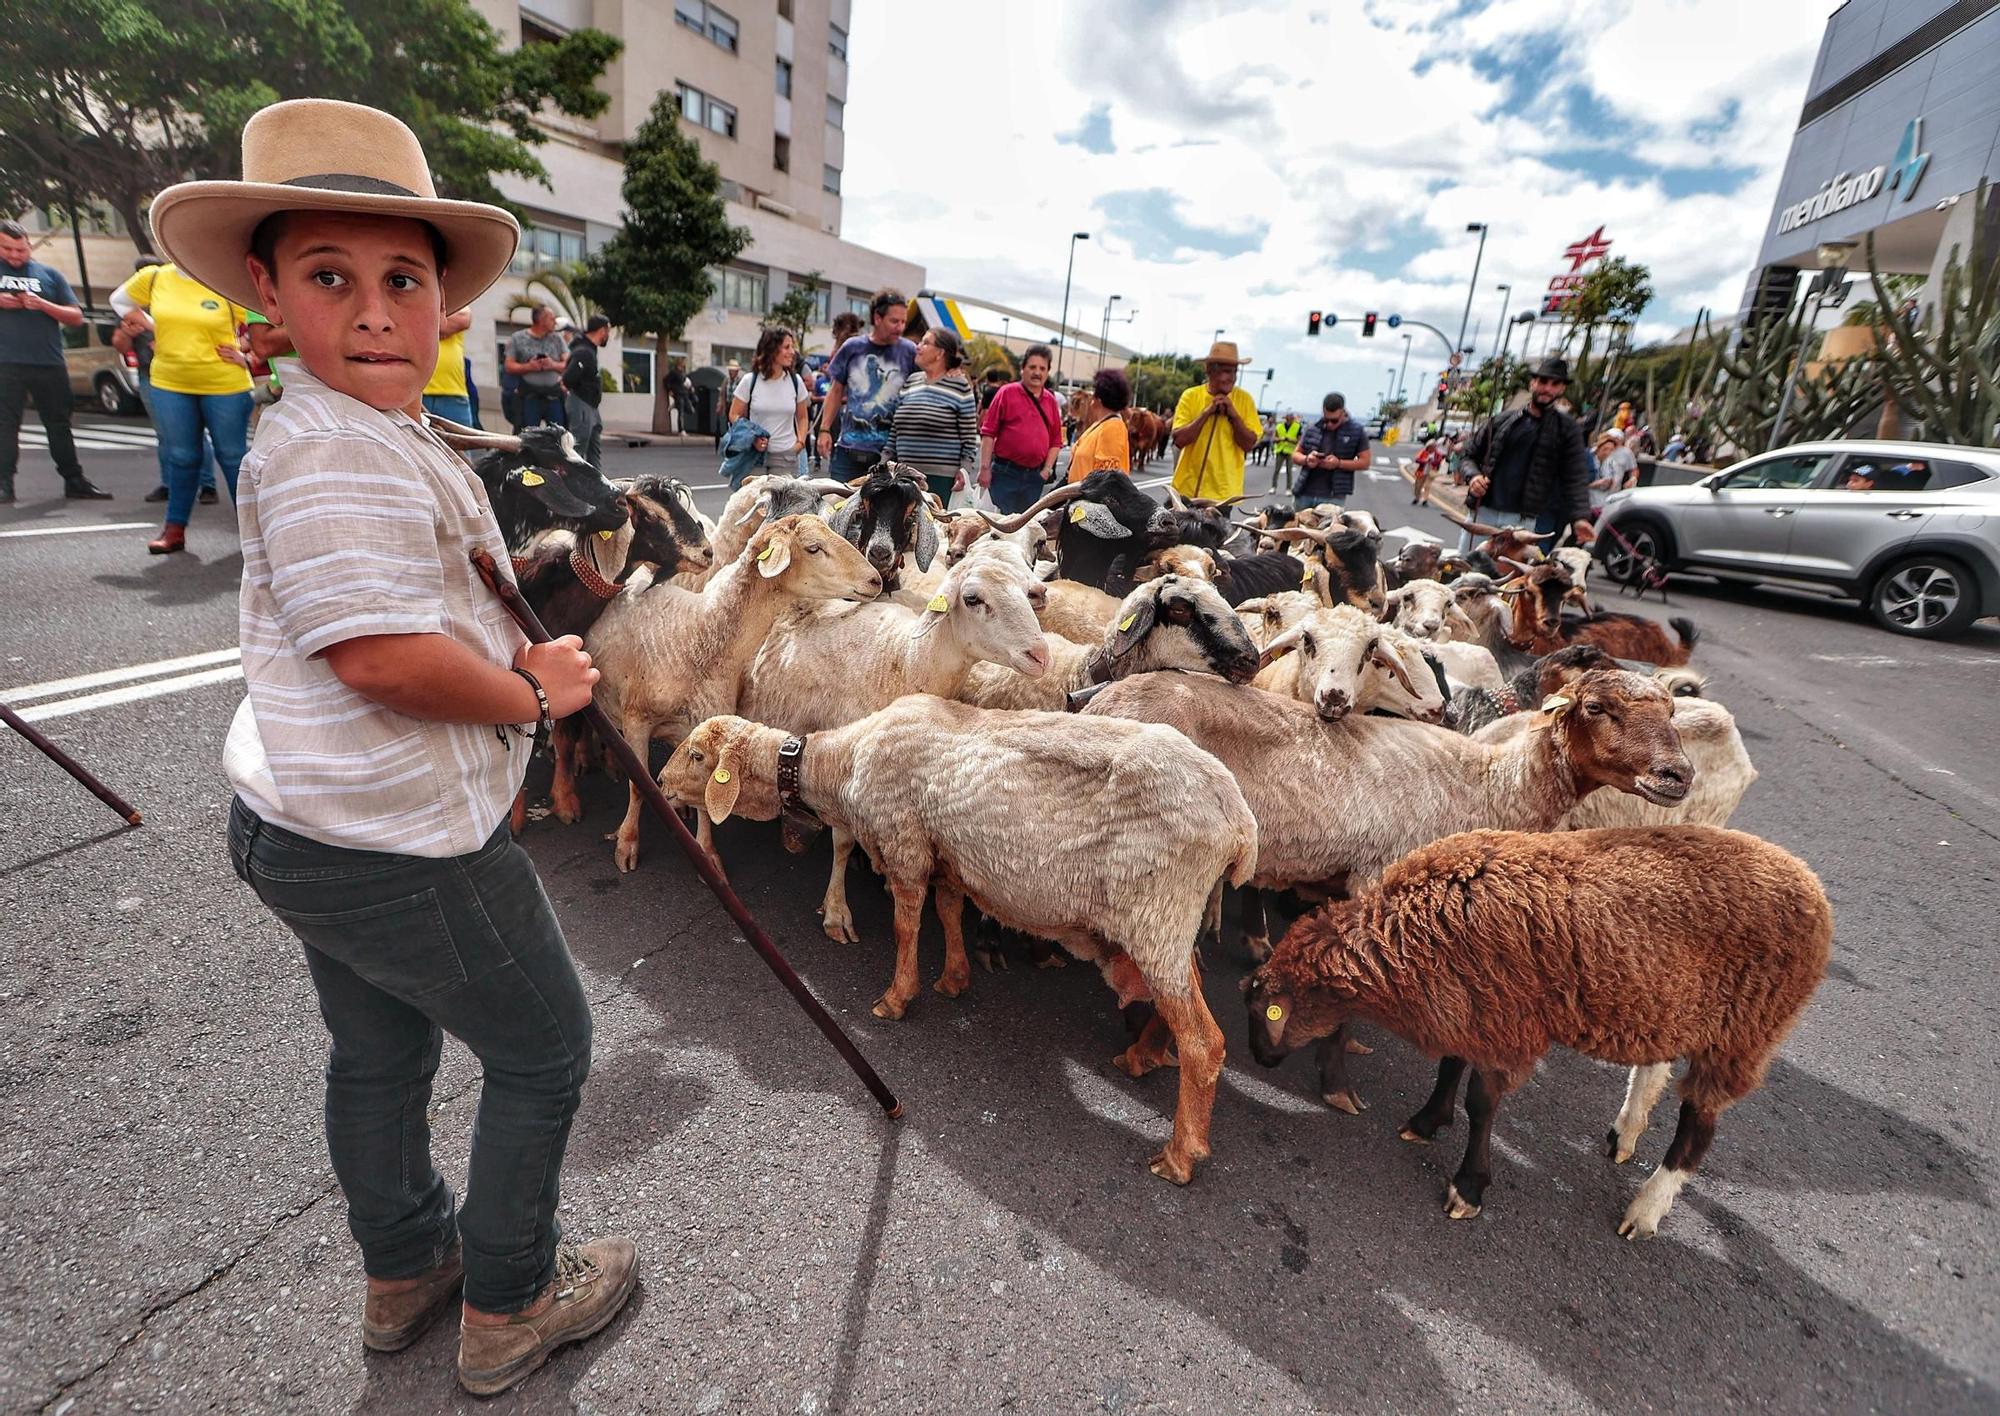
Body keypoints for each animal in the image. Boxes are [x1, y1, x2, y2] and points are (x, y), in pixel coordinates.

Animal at [1240, 824, 1832, 1232]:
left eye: (1265, 1011)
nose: (1260, 1060)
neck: (1402, 933)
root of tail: (1811, 885)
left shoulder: (1504, 1022)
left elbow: (1482, 1103)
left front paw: (1468, 1188)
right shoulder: (1472, 1006)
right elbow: (1450, 1065)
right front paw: (1428, 1120)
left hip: (1747, 1029)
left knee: (1697, 1129)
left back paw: (1644, 1210)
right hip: (1672, 1009)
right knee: (1656, 1066)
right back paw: (1626, 1131)